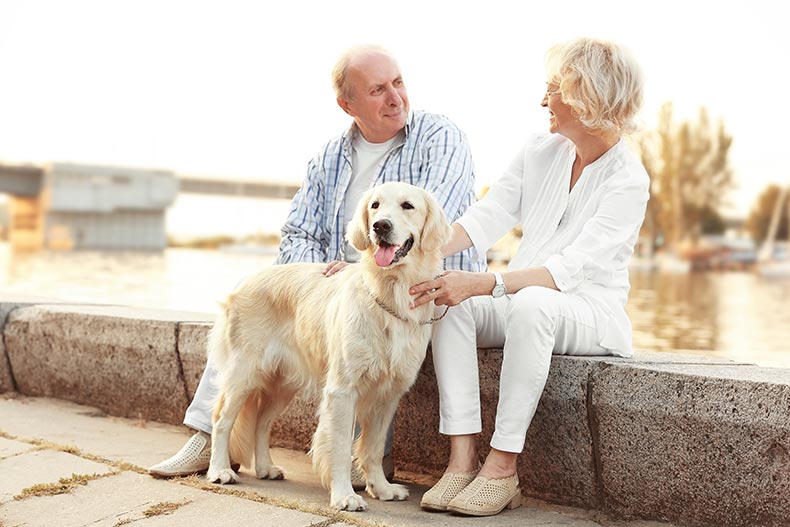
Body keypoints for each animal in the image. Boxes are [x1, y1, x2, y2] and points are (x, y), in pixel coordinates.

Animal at [206, 182, 452, 512]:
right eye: (374, 205)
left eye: (407, 206)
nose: (380, 226)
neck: (390, 291)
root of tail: (246, 281)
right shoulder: (342, 391)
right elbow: (339, 448)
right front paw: (345, 495)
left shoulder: (389, 394)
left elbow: (372, 448)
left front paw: (382, 489)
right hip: (244, 372)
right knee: (222, 420)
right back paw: (219, 470)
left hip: (281, 383)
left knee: (260, 423)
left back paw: (265, 468)